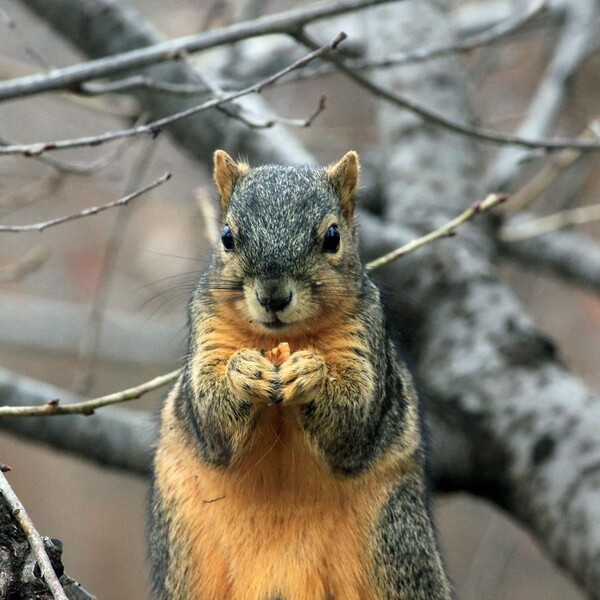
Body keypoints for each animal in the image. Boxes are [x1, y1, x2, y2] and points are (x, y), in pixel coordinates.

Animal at [148, 150, 452, 600]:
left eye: (332, 237)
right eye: (226, 237)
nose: (273, 296)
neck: (281, 339)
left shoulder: (365, 338)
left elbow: (354, 421)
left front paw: (312, 374)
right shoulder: (207, 332)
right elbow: (210, 418)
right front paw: (244, 372)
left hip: (394, 543)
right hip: (183, 556)